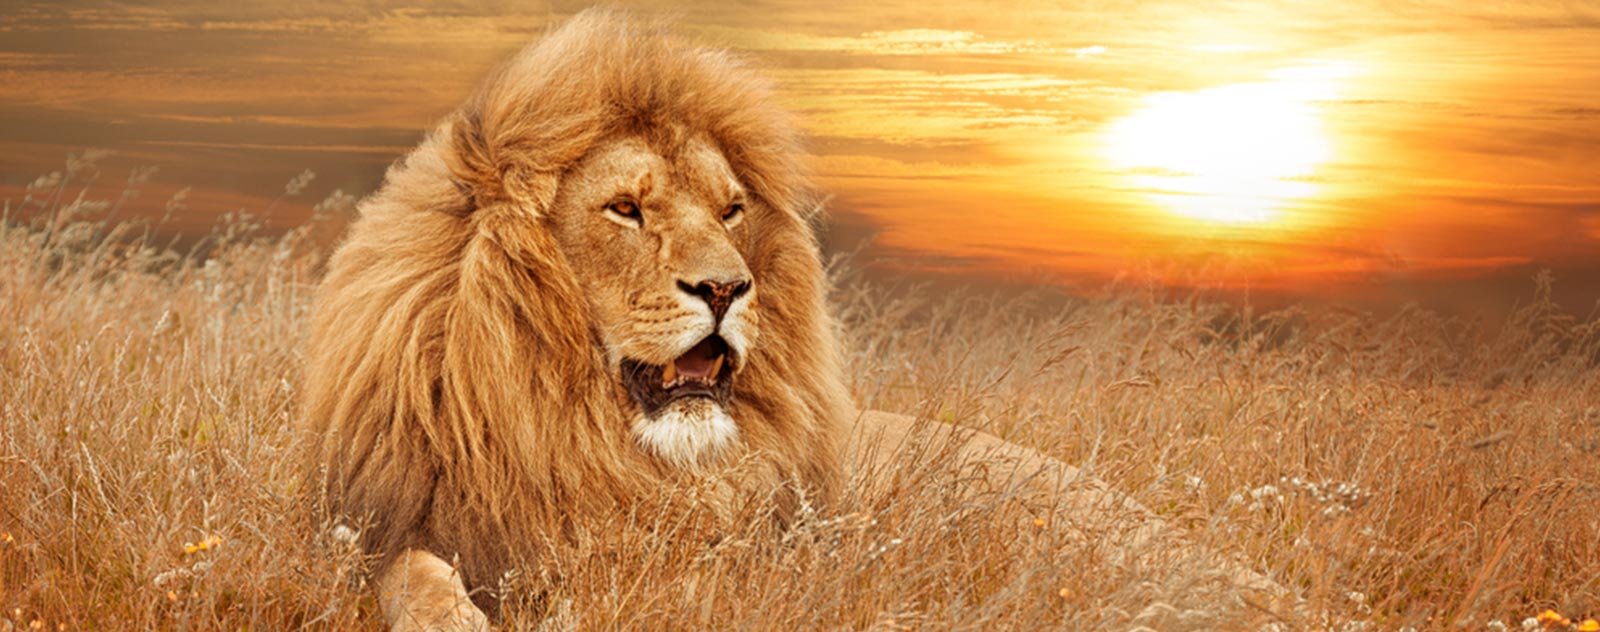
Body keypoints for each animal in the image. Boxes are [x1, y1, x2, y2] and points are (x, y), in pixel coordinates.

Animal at [302, 10, 1283, 631]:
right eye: (625, 209)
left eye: (731, 210)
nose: (727, 290)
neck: (575, 435)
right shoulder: (382, 527)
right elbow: (408, 571)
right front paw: (454, 617)